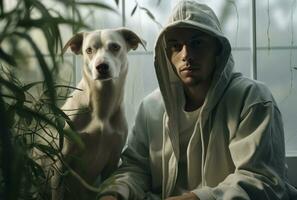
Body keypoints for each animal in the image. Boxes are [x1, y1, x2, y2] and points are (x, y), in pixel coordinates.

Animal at [48, 27, 145, 199]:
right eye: (89, 50)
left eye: (115, 47)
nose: (101, 66)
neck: (101, 105)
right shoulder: (60, 163)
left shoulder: (113, 161)